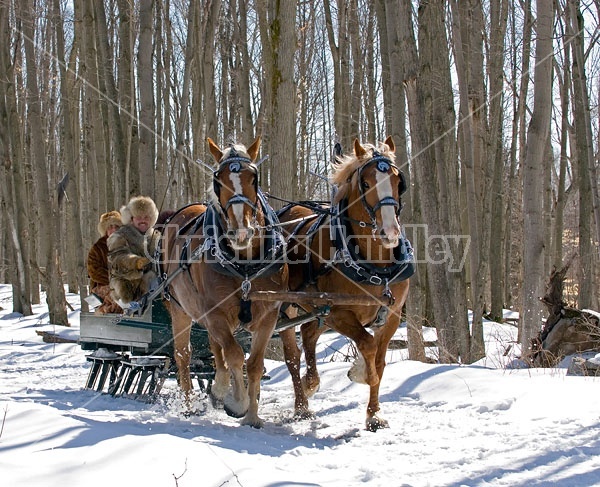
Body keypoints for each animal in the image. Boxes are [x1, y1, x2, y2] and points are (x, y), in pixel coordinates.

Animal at [161, 136, 288, 428]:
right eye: (218, 180)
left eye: (254, 177)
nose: (240, 232)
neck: (244, 267)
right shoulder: (214, 312)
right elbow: (235, 355)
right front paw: (236, 402)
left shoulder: (268, 315)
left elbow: (253, 364)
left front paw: (252, 415)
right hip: (180, 309)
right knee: (184, 355)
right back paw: (189, 404)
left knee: (213, 347)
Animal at [278, 136, 414, 430]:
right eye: (366, 184)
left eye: (398, 181)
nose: (390, 232)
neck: (374, 266)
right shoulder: (338, 313)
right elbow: (368, 346)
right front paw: (361, 373)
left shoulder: (392, 316)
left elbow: (381, 361)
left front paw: (374, 414)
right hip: (287, 308)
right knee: (292, 355)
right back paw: (301, 406)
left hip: (313, 309)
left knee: (308, 335)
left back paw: (310, 383)